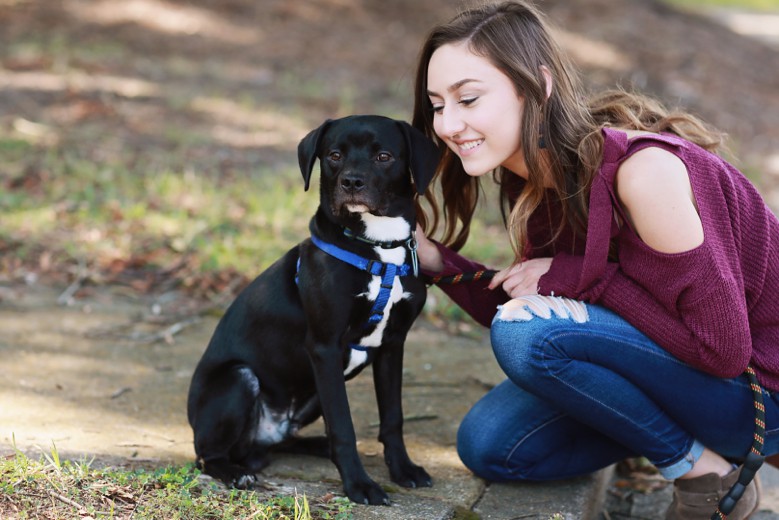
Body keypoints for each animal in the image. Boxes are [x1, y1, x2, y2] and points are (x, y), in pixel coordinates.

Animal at [188, 115, 442, 504]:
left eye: (384, 156)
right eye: (334, 155)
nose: (351, 182)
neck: (379, 248)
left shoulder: (392, 345)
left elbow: (393, 418)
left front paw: (403, 469)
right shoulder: (324, 349)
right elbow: (344, 427)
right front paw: (359, 485)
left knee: (281, 442)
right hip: (239, 380)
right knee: (208, 455)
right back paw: (235, 472)